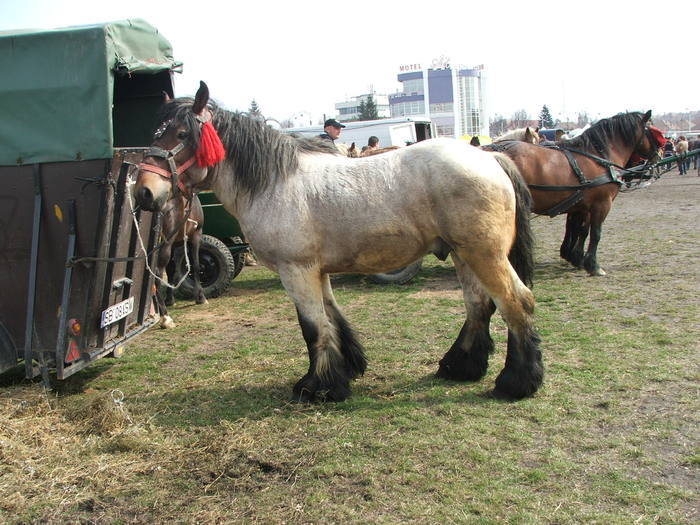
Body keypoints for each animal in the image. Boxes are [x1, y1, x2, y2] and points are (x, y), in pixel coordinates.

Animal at [134, 82, 544, 402]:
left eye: (182, 135)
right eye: (155, 133)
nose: (144, 193)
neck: (274, 182)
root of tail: (490, 158)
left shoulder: (296, 271)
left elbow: (313, 326)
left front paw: (318, 387)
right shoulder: (317, 271)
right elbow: (332, 318)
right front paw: (347, 369)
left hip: (485, 255)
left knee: (516, 302)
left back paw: (516, 382)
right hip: (464, 255)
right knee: (479, 306)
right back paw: (461, 366)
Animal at [484, 110, 660, 274]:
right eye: (652, 130)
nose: (658, 156)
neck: (599, 157)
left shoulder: (581, 205)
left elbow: (580, 230)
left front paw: (576, 257)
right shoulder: (601, 204)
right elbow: (595, 233)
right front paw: (593, 265)